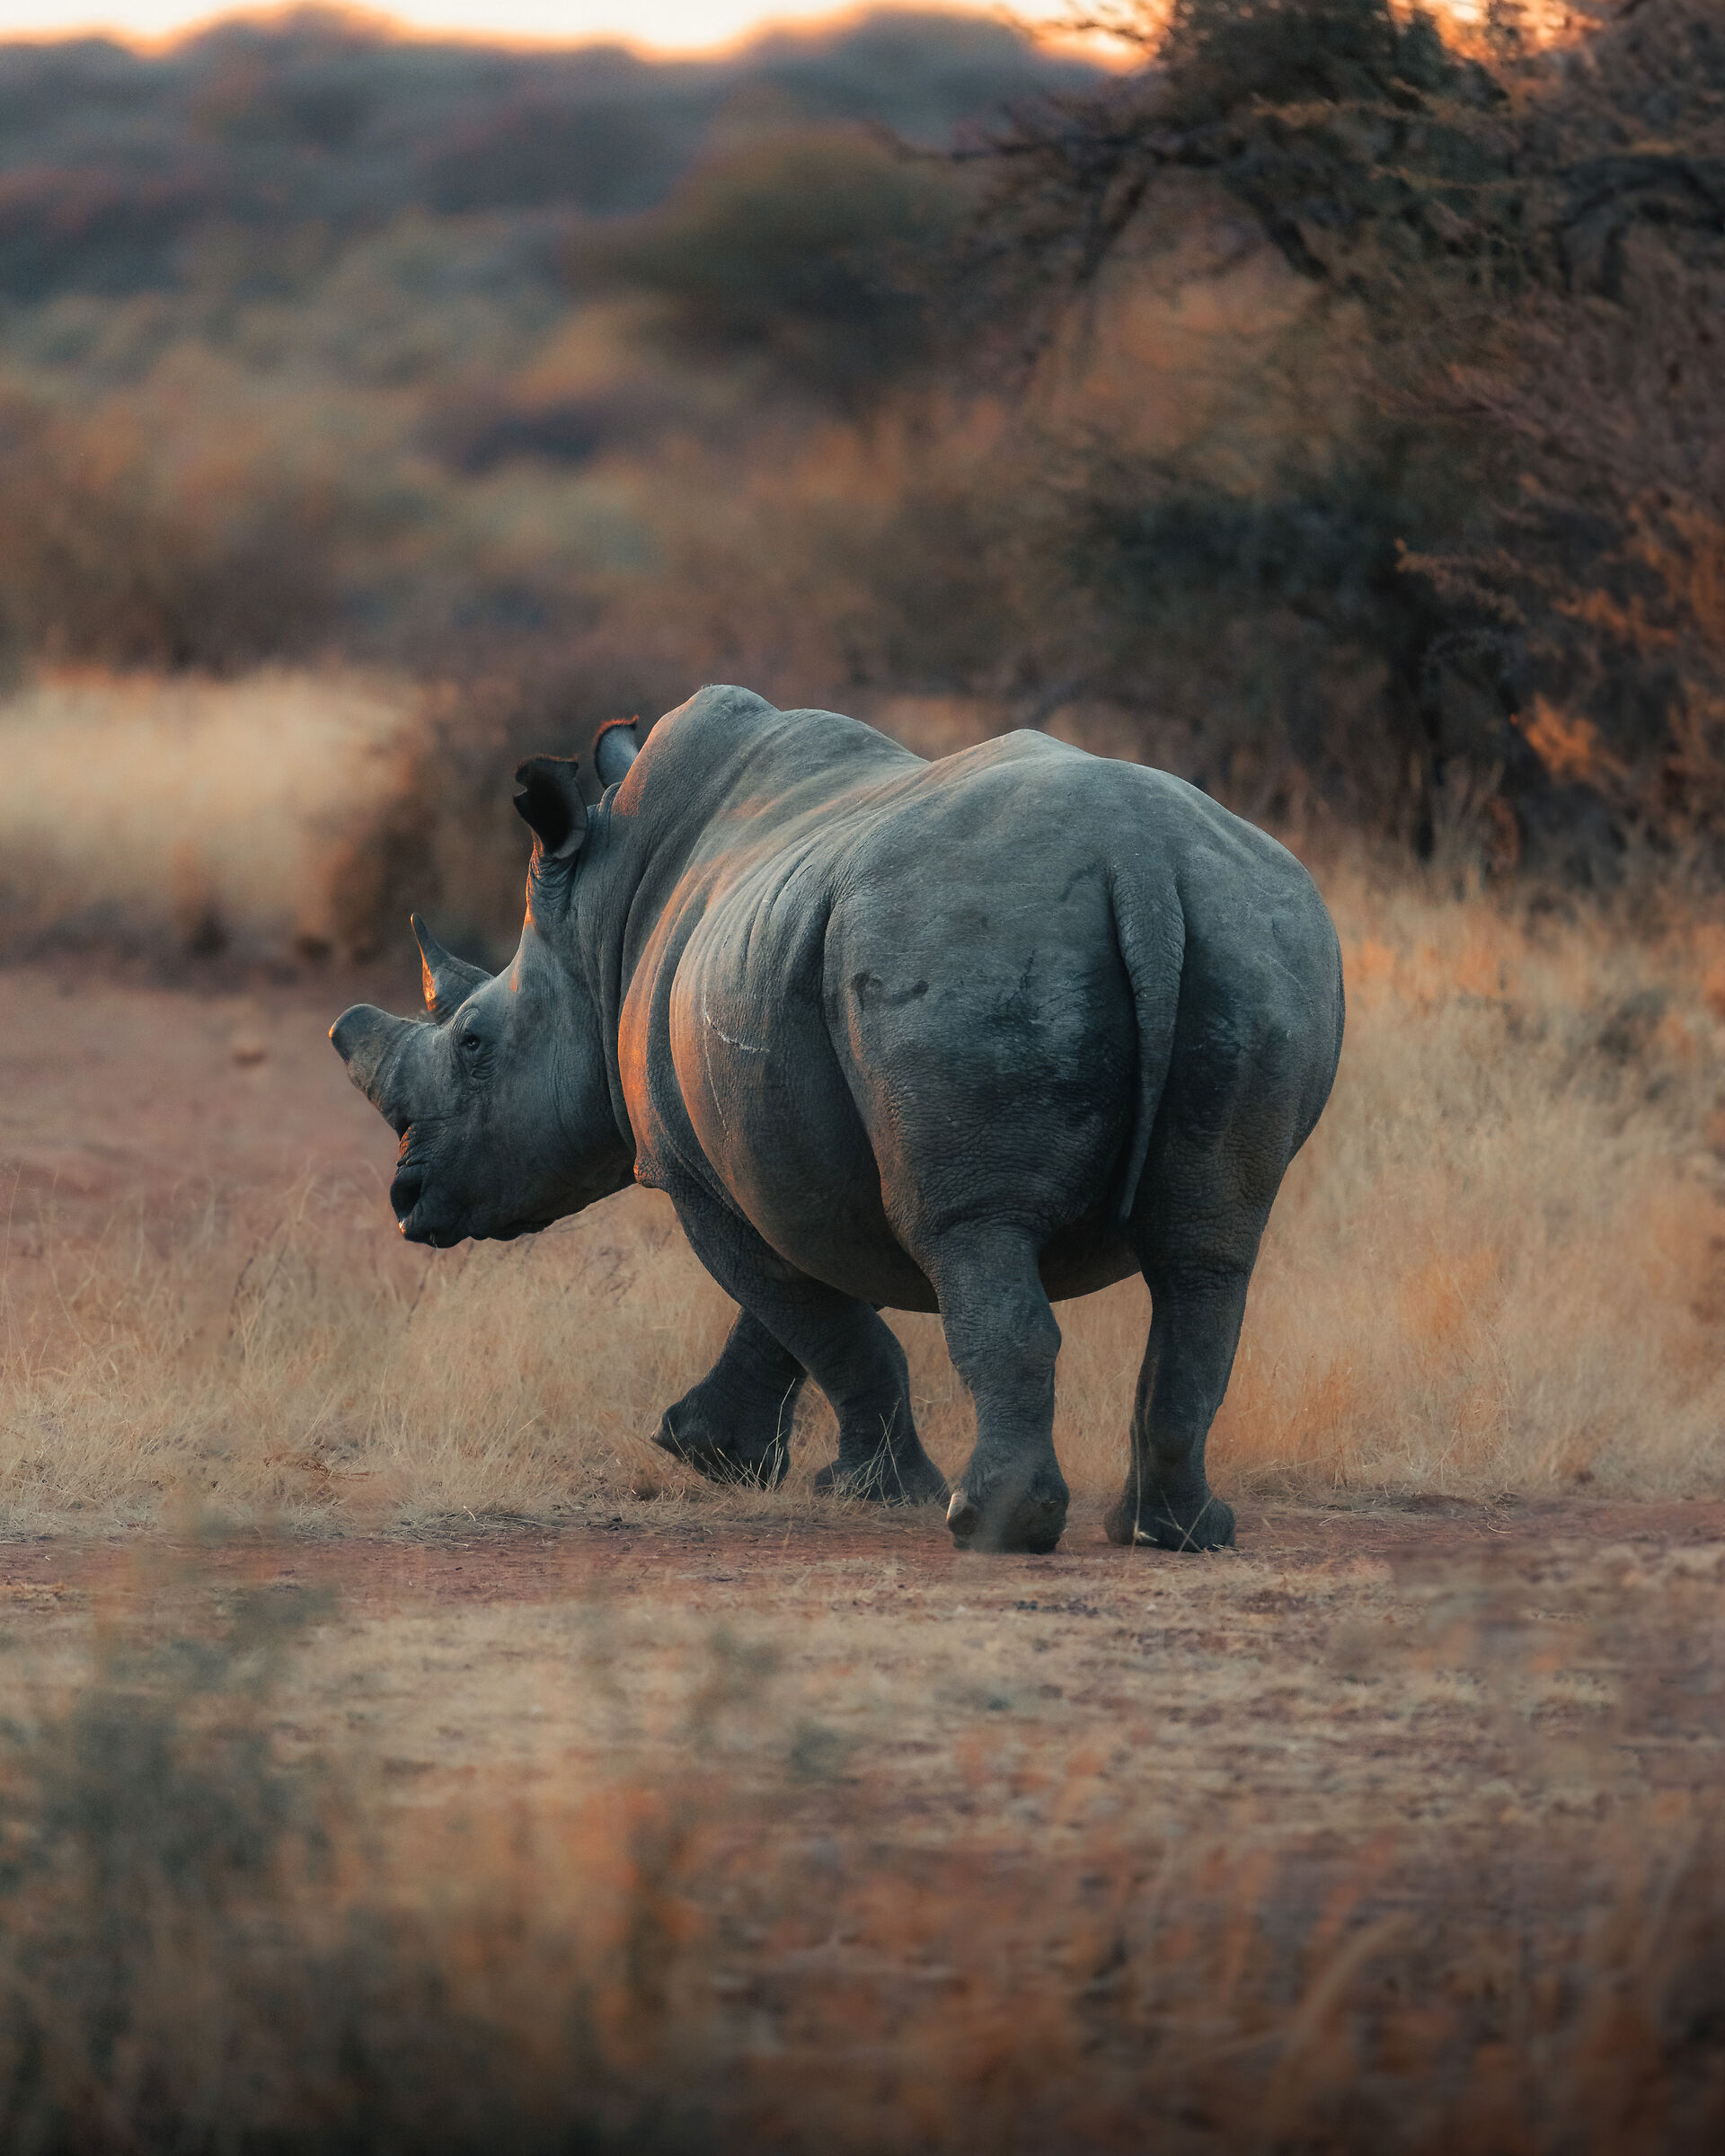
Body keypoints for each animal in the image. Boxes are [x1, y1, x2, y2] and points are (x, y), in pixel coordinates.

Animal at [331, 686, 1343, 1555]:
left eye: (474, 1043)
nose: (406, 1200)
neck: (597, 922)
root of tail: (1138, 861)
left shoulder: (694, 1171)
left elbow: (815, 1316)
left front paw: (852, 1487)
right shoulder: (804, 1138)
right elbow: (811, 1304)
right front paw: (713, 1452)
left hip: (962, 944)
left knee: (975, 1234)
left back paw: (992, 1527)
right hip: (1256, 938)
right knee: (1207, 1253)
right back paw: (1176, 1531)